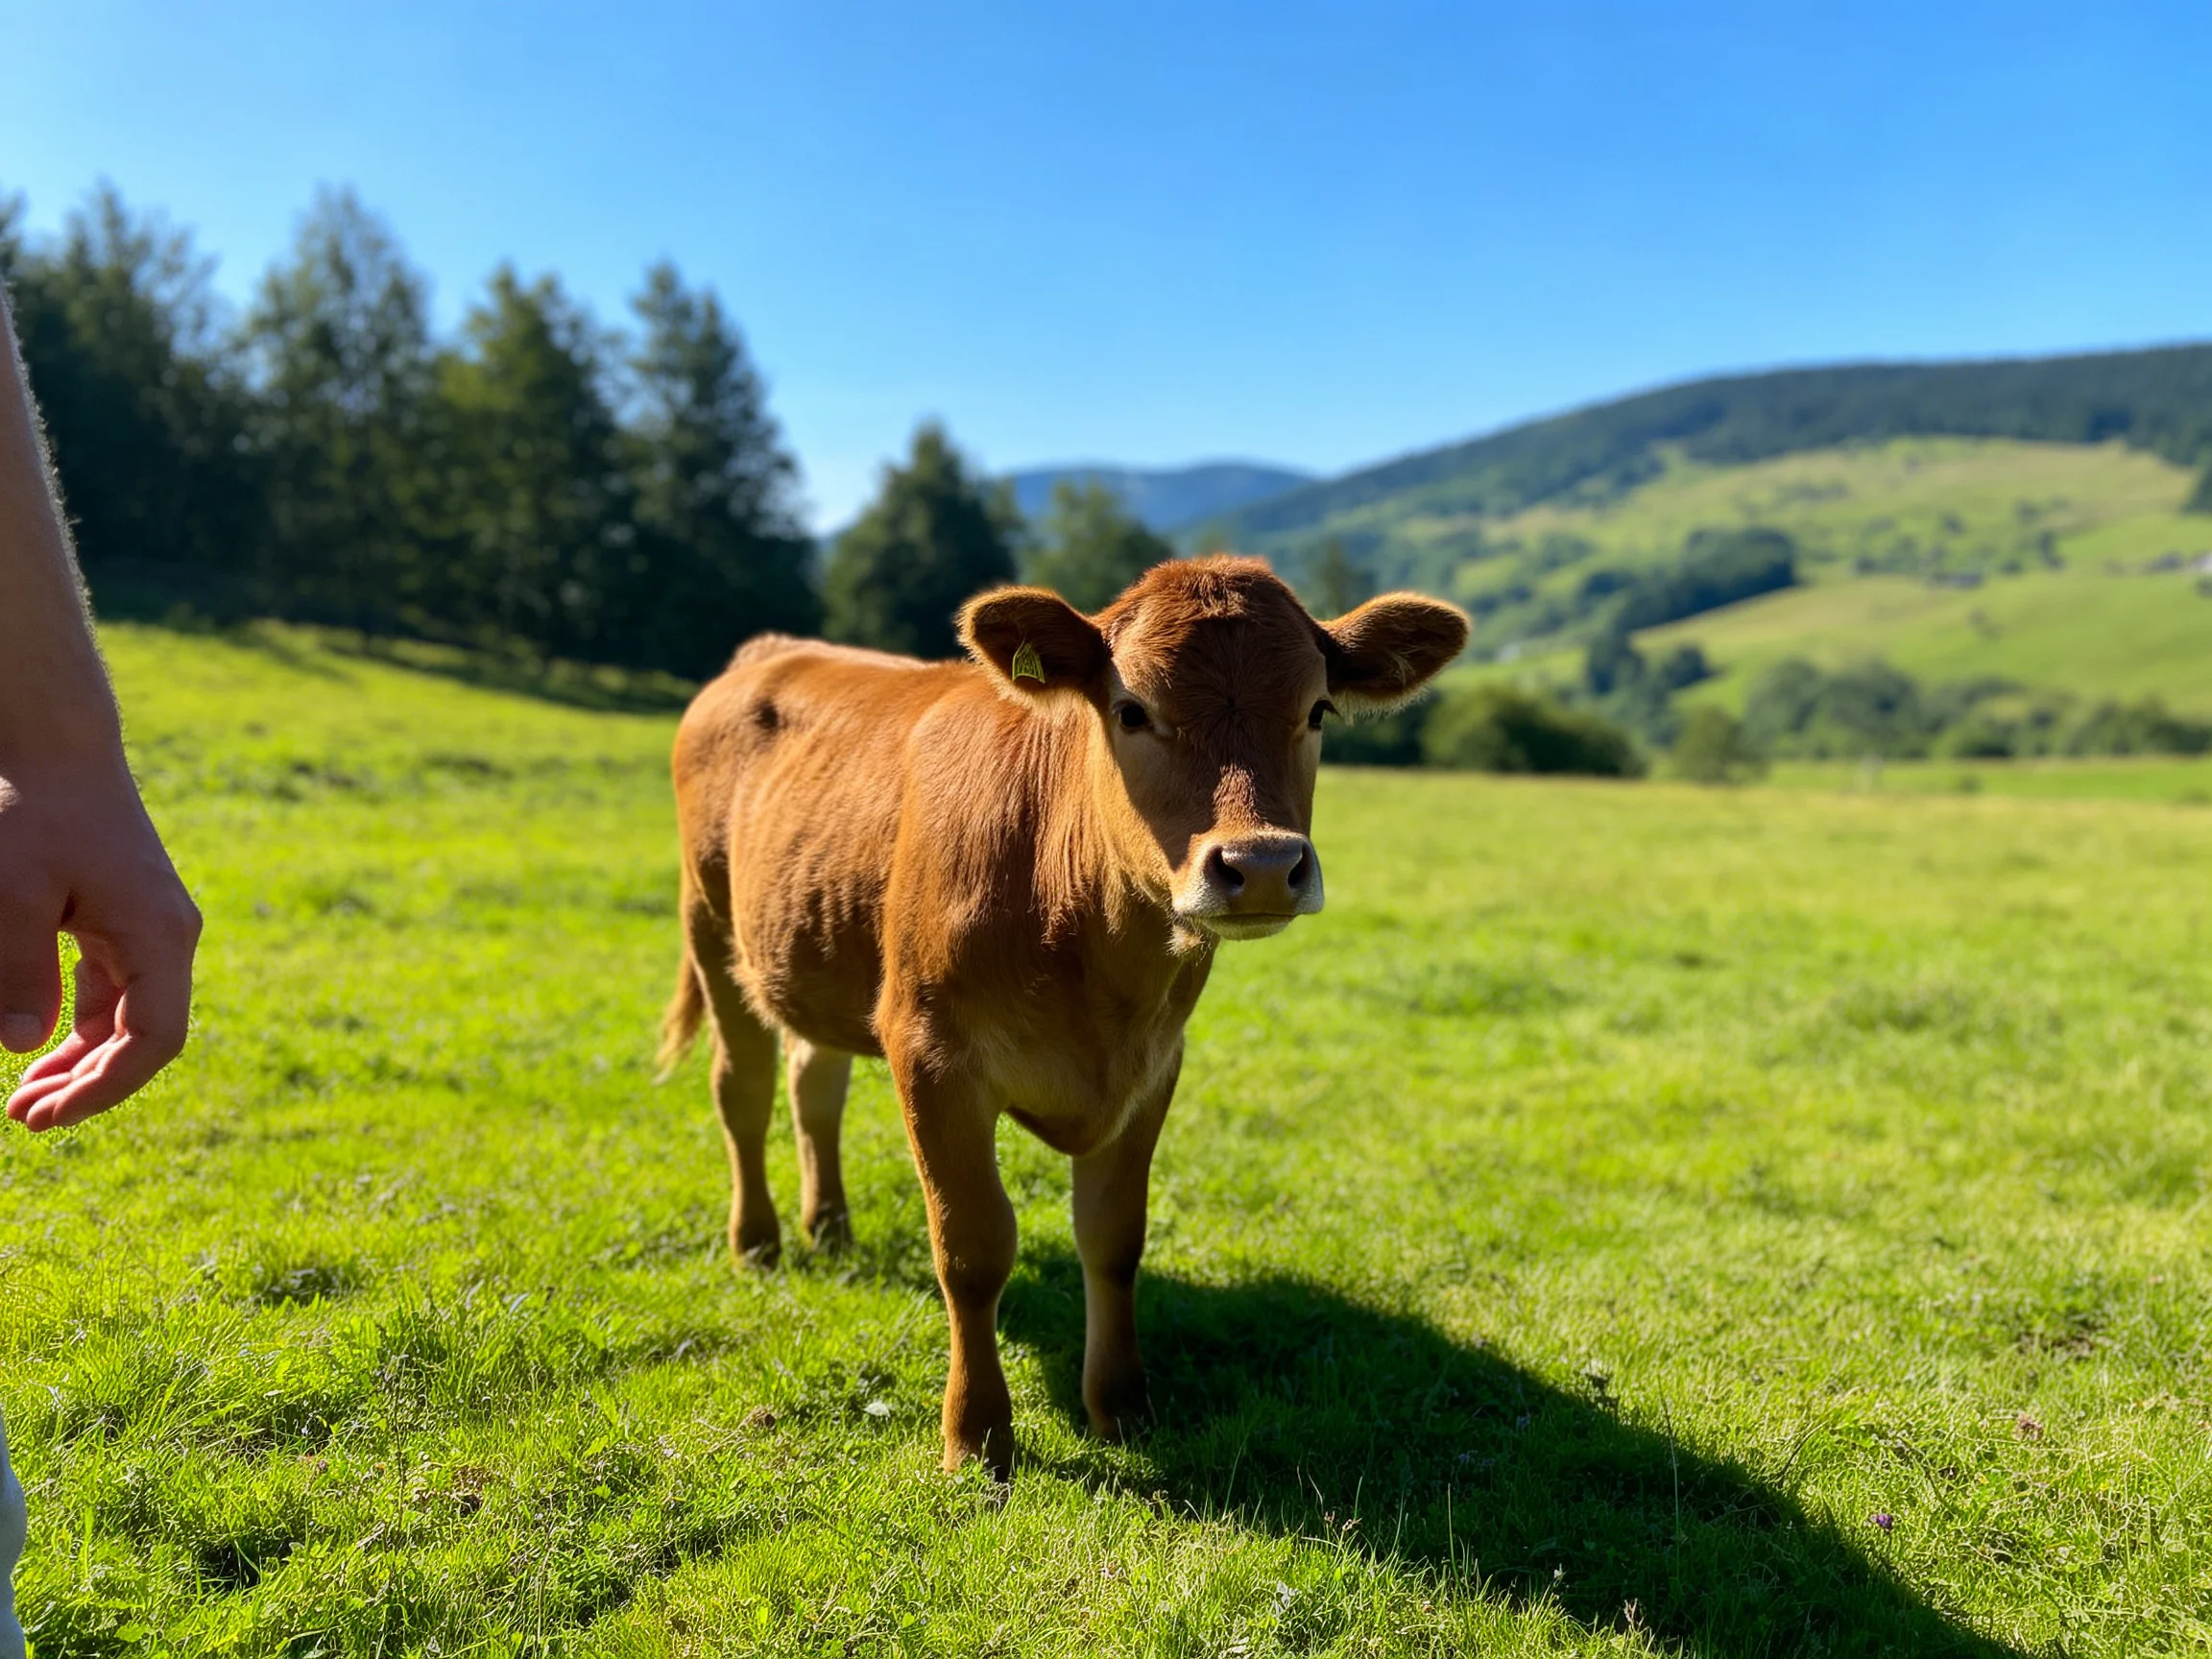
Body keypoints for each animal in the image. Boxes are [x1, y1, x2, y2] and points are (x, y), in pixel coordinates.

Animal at [659, 556, 1468, 1478]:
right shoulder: (930, 1053)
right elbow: (973, 1249)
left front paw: (1121, 1406)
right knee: (744, 1089)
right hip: (709, 924)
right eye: (1132, 709)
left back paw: (827, 1228)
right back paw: (757, 1243)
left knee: (813, 1083)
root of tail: (771, 650)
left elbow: (1115, 1239)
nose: (1262, 865)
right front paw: (977, 1436)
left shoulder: (1155, 1065)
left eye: (1318, 711)